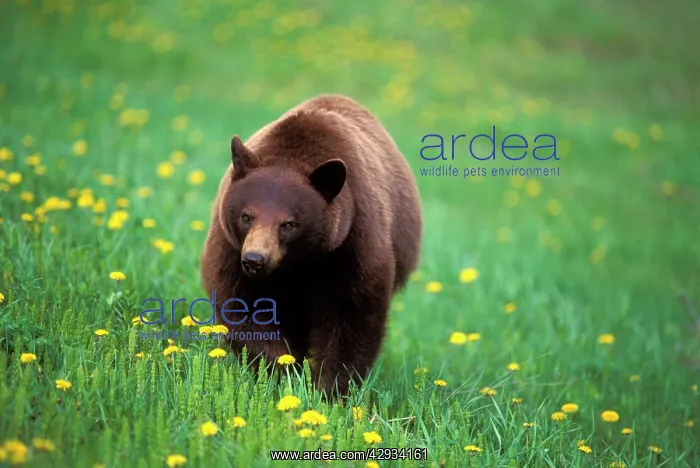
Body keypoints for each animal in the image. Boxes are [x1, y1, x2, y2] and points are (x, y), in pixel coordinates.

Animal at [200, 94, 422, 396]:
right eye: (246, 216)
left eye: (289, 224)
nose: (255, 260)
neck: (298, 263)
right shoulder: (230, 247)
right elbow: (242, 306)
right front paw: (282, 373)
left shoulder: (353, 241)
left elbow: (352, 314)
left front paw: (329, 390)